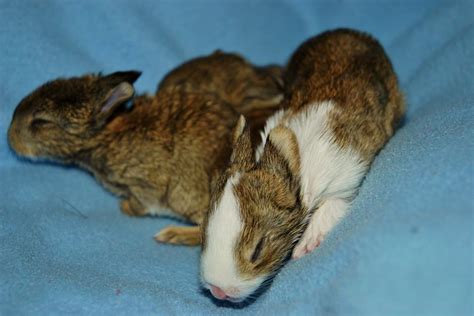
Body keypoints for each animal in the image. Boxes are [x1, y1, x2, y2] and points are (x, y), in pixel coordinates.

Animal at [7, 52, 284, 244]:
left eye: (41, 123)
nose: (10, 138)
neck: (105, 136)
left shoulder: (145, 185)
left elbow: (144, 203)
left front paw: (126, 208)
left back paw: (171, 234)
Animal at [200, 28, 404, 302]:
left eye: (258, 250)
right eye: (204, 233)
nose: (218, 291)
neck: (296, 170)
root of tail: (353, 33)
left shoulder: (344, 180)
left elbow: (332, 206)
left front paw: (306, 243)